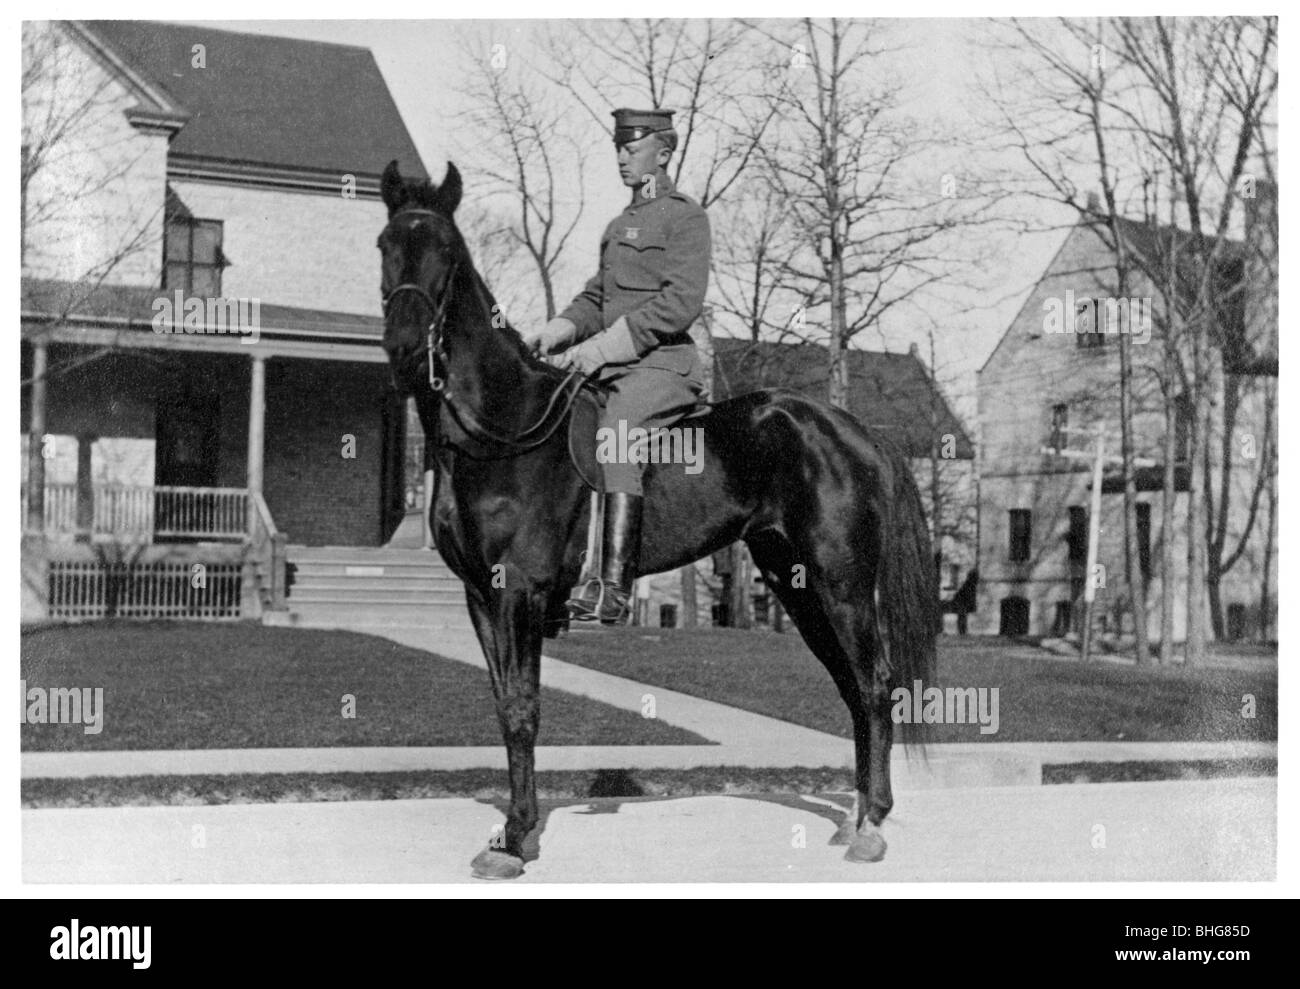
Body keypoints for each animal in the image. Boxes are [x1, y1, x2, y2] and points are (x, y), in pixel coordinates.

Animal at [377, 161, 935, 878]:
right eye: (386, 245)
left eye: (446, 251)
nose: (403, 352)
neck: (500, 427)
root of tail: (853, 428)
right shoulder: (479, 597)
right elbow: (504, 705)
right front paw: (513, 834)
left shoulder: (518, 593)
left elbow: (524, 709)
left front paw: (517, 835)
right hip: (799, 587)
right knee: (851, 686)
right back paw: (857, 816)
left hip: (843, 586)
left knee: (875, 684)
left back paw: (872, 825)